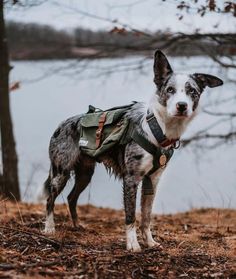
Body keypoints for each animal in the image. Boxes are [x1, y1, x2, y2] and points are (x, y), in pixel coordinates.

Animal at [42, 50, 223, 254]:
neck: (157, 128)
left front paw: (150, 242)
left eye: (192, 91)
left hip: (85, 173)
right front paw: (133, 244)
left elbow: (146, 216)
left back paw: (77, 225)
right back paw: (49, 228)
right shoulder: (131, 178)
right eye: (170, 90)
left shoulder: (152, 180)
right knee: (49, 199)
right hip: (61, 172)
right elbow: (131, 216)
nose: (182, 106)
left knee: (71, 198)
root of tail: (61, 125)